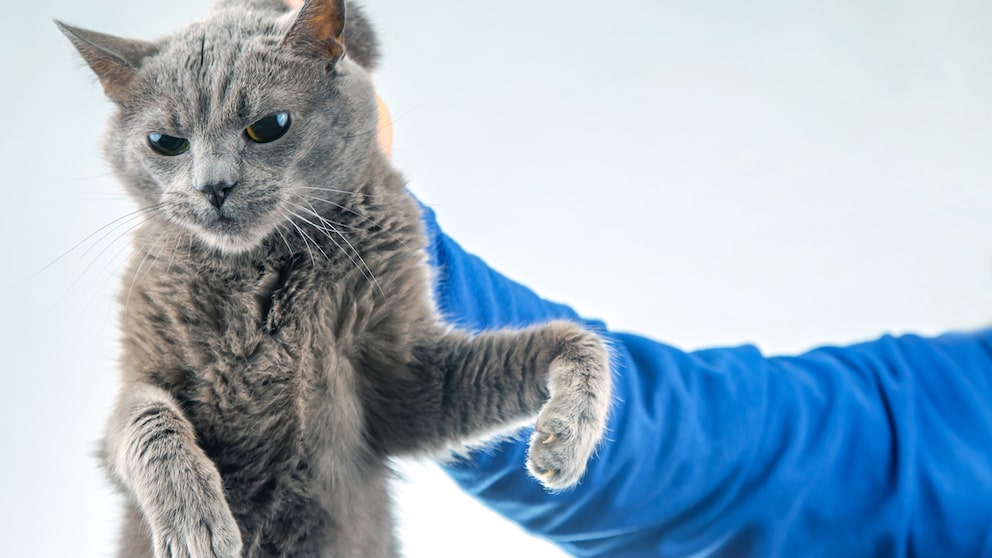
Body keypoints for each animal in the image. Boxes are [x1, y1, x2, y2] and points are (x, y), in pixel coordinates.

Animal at [56, 1, 612, 558]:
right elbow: (144, 419)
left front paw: (565, 438)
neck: (263, 267)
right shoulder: (143, 369)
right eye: (165, 142)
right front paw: (197, 522)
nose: (213, 186)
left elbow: (580, 341)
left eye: (269, 126)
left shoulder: (404, 383)